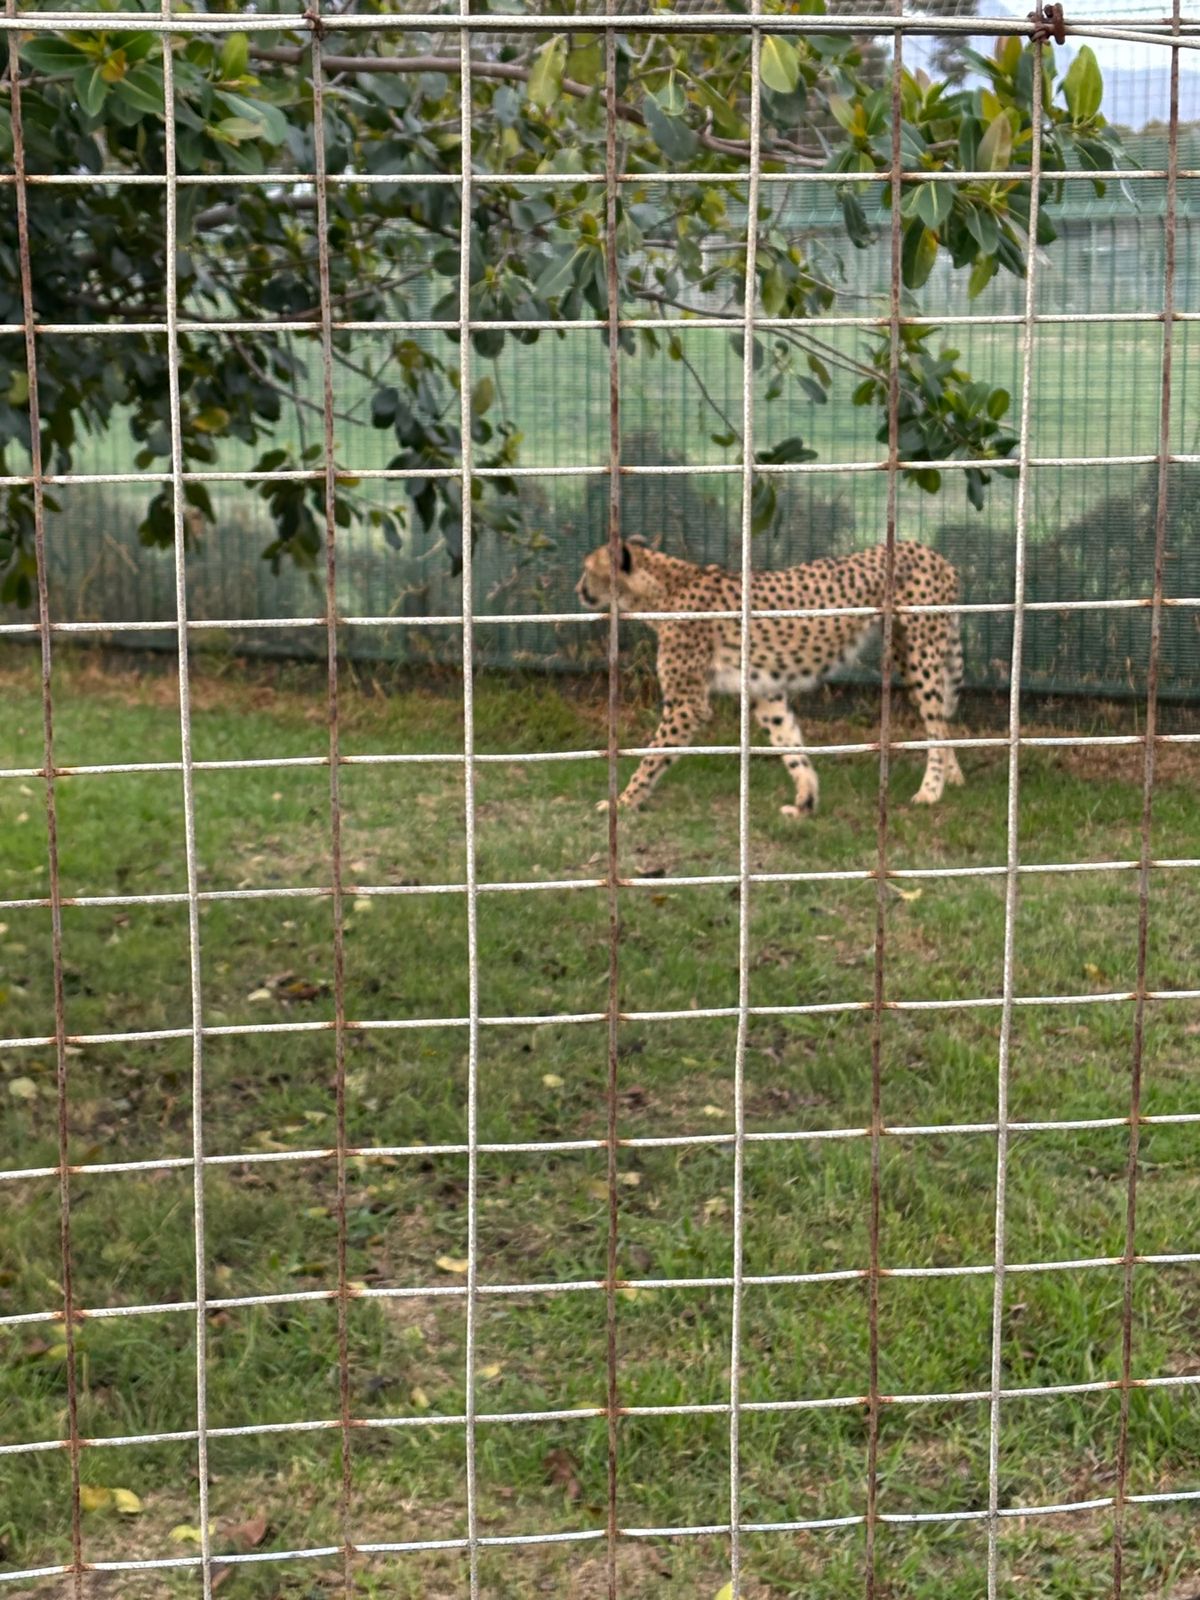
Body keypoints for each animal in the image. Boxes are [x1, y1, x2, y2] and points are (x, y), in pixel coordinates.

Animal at [575, 538, 965, 816]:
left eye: (587, 569)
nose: (578, 589)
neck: (663, 588)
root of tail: (929, 550)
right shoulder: (765, 690)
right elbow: (789, 743)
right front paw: (806, 798)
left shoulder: (687, 704)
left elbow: (652, 757)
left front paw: (623, 802)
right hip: (906, 653)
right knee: (941, 717)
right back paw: (953, 775)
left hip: (922, 653)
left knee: (936, 723)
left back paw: (931, 790)